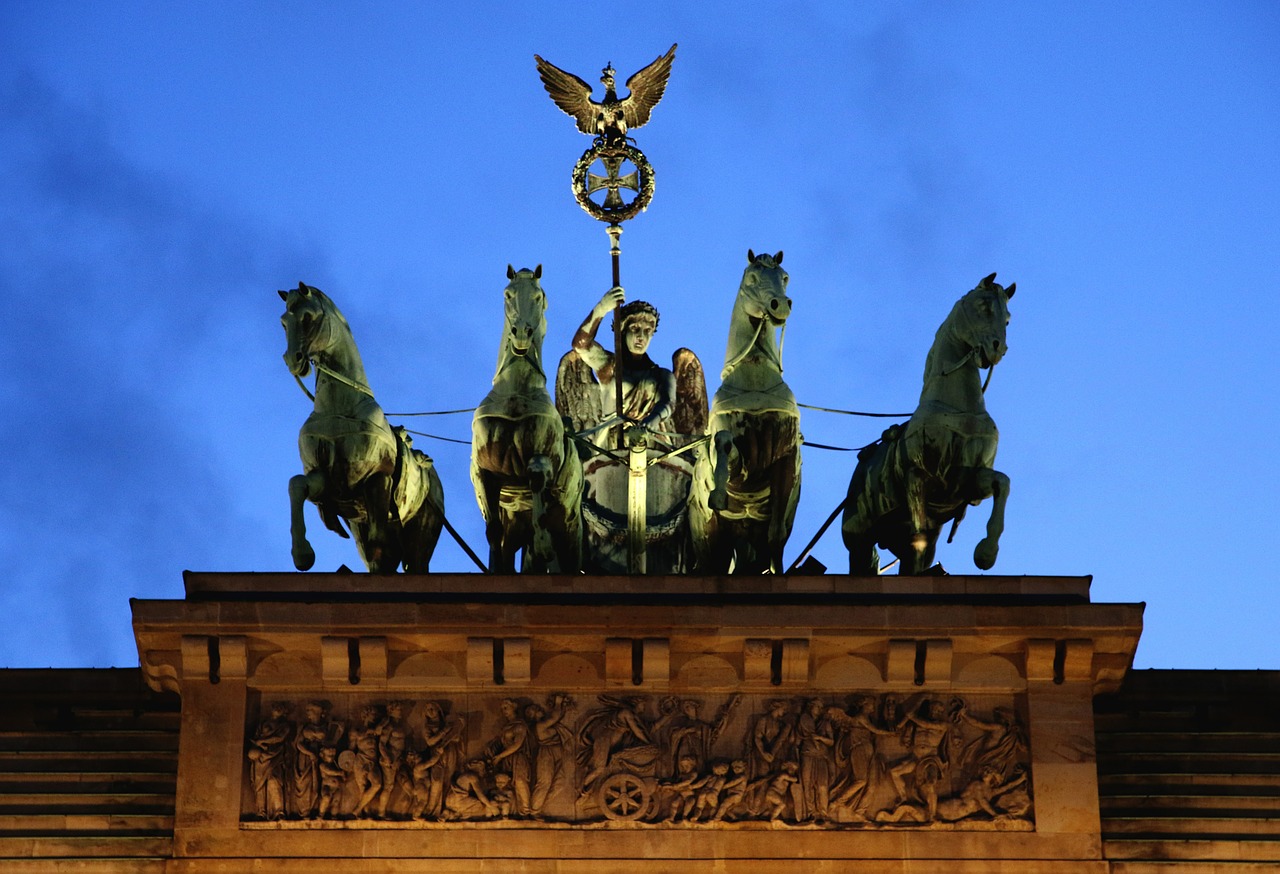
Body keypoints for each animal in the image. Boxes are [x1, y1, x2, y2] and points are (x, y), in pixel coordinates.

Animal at [277, 280, 442, 578]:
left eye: (307, 317)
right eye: (284, 321)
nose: (293, 360)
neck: (338, 408)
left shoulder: (376, 480)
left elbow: (380, 543)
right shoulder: (328, 481)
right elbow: (296, 484)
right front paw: (302, 554)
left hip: (420, 536)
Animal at [473, 266, 583, 573]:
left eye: (538, 296)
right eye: (507, 294)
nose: (522, 333)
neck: (515, 394)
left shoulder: (543, 459)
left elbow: (536, 478)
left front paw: (543, 542)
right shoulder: (481, 471)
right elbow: (493, 533)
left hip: (570, 525)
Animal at [691, 249, 798, 573]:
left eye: (785, 277)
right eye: (751, 277)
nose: (780, 305)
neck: (754, 379)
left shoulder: (787, 456)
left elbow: (776, 536)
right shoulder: (733, 450)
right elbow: (724, 443)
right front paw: (717, 494)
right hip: (710, 539)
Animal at [844, 271, 1013, 573]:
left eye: (1008, 318)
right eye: (983, 305)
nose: (998, 349)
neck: (958, 407)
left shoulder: (968, 482)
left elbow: (1002, 482)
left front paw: (986, 552)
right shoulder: (918, 477)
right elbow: (918, 533)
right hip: (859, 539)